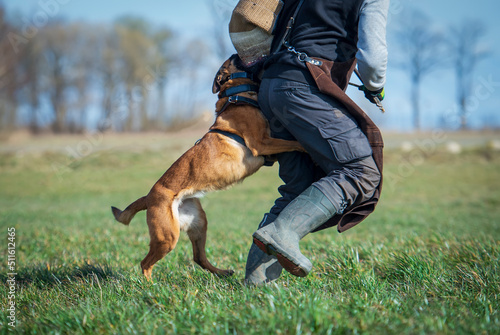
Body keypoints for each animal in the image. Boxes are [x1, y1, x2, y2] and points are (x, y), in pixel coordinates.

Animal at [110, 55, 304, 280]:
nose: (236, 54)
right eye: (234, 60)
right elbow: (294, 143)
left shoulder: (267, 147)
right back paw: (150, 285)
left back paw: (222, 272)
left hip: (199, 223)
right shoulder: (262, 143)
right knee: (145, 263)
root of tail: (148, 197)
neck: (235, 96)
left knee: (198, 257)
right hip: (167, 236)